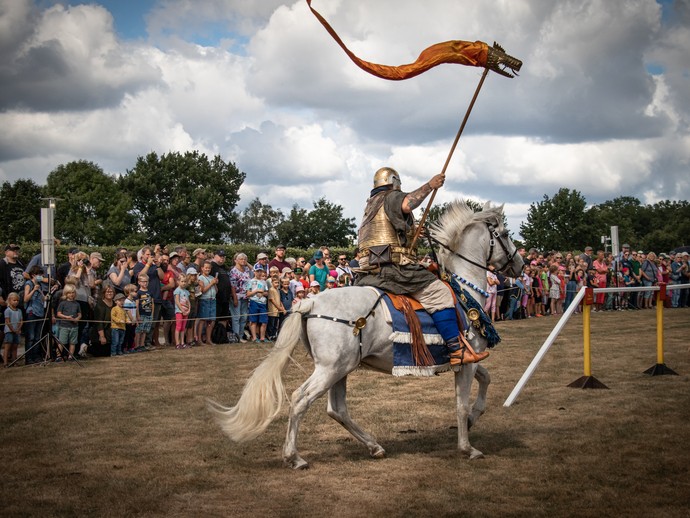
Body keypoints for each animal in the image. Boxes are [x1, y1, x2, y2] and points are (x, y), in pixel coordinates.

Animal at [210, 201, 520, 470]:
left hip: (340, 369)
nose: (518, 265)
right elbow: (460, 403)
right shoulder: (466, 363)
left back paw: (374, 446)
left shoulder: (470, 359)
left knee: (336, 409)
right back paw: (294, 457)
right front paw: (467, 446)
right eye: (505, 234)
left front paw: (473, 419)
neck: (464, 290)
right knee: (300, 399)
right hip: (331, 369)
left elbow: (485, 379)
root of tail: (310, 303)